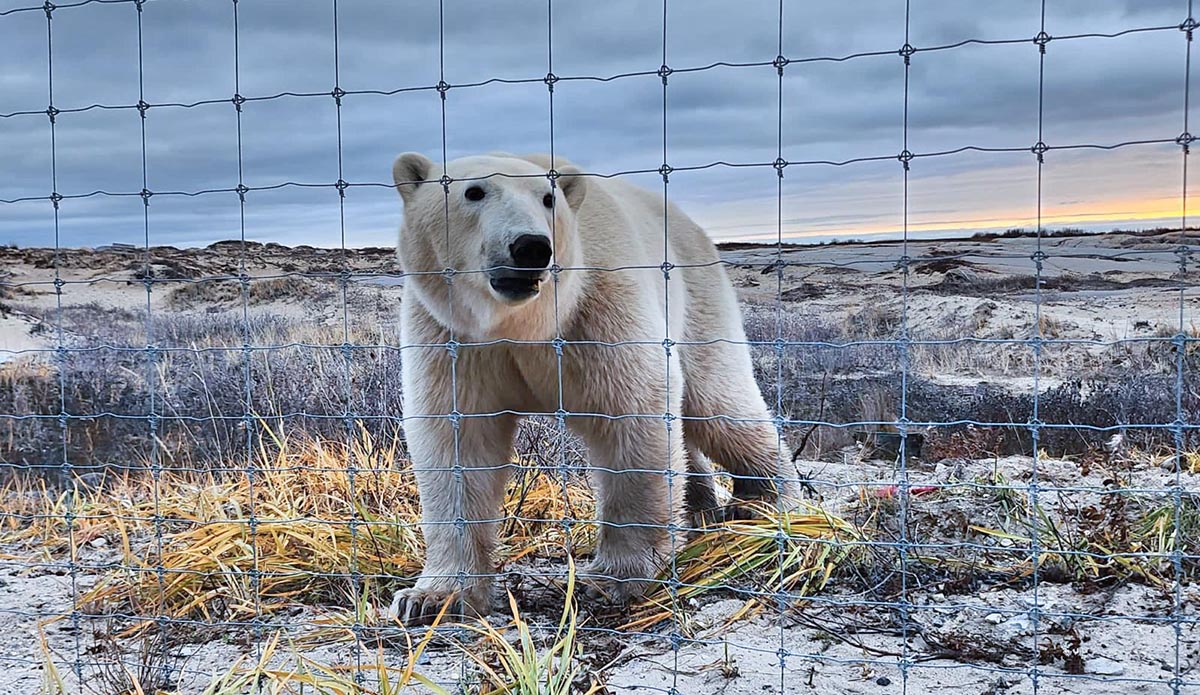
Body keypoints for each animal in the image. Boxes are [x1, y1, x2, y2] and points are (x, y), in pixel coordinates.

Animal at [388, 152, 792, 624]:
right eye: (473, 191)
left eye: (548, 199)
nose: (531, 247)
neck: (522, 324)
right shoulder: (454, 339)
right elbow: (458, 440)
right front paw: (430, 597)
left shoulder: (598, 307)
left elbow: (632, 413)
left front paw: (614, 578)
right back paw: (701, 509)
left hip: (697, 297)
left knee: (717, 405)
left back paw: (765, 501)